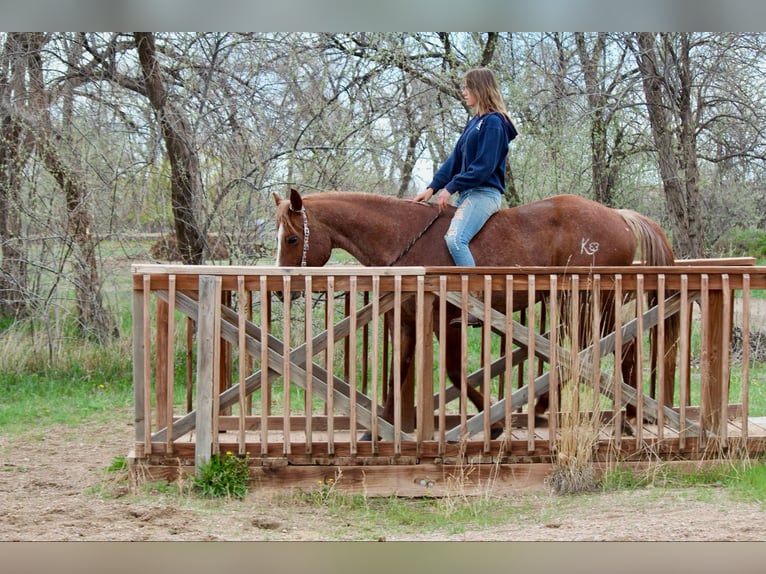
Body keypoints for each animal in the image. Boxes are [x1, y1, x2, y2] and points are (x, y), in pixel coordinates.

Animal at [273, 188, 679, 437]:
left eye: (291, 238)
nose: (278, 289)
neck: (404, 238)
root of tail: (618, 216)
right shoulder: (408, 319)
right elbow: (398, 369)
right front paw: (382, 426)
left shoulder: (446, 320)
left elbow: (453, 370)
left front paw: (493, 423)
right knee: (591, 349)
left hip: (592, 300)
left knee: (617, 348)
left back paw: (624, 417)